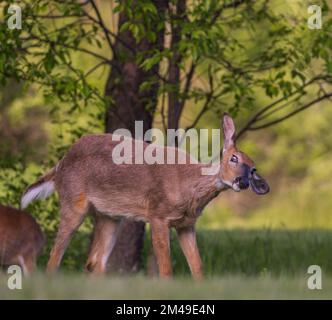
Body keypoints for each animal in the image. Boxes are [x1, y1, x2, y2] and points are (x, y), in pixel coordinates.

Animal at [20, 114, 270, 278]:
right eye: (234, 158)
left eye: (253, 168)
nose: (242, 181)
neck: (189, 188)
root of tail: (59, 166)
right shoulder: (157, 214)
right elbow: (166, 269)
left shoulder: (186, 224)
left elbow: (198, 267)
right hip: (73, 201)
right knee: (54, 258)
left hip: (110, 216)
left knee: (94, 262)